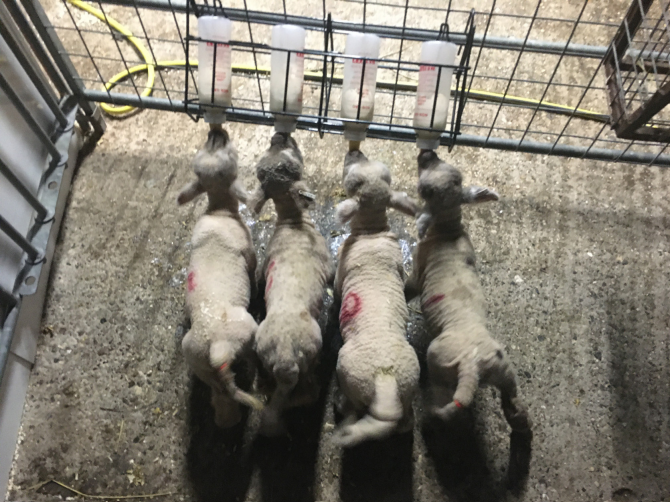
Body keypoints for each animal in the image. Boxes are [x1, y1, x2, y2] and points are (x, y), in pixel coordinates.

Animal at [178, 124, 263, 428]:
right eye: (231, 155)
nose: (215, 133)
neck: (219, 211)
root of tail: (216, 347)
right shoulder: (250, 253)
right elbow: (253, 270)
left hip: (199, 362)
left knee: (221, 395)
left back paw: (227, 421)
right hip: (246, 333)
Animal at [249, 132, 334, 436]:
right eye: (292, 162)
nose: (280, 135)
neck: (293, 223)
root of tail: (286, 356)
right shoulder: (329, 268)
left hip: (262, 353)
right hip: (309, 354)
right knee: (306, 393)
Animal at [331, 149, 421, 447]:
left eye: (352, 178)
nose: (355, 151)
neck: (371, 232)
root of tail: (386, 380)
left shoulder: (340, 274)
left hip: (349, 373)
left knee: (354, 404)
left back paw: (340, 406)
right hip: (407, 389)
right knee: (404, 422)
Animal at [405, 150, 531, 433]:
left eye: (426, 190)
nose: (427, 153)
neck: (447, 230)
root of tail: (472, 367)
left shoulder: (418, 271)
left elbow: (409, 288)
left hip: (439, 364)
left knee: (446, 401)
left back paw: (431, 418)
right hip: (503, 370)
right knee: (516, 405)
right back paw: (522, 428)